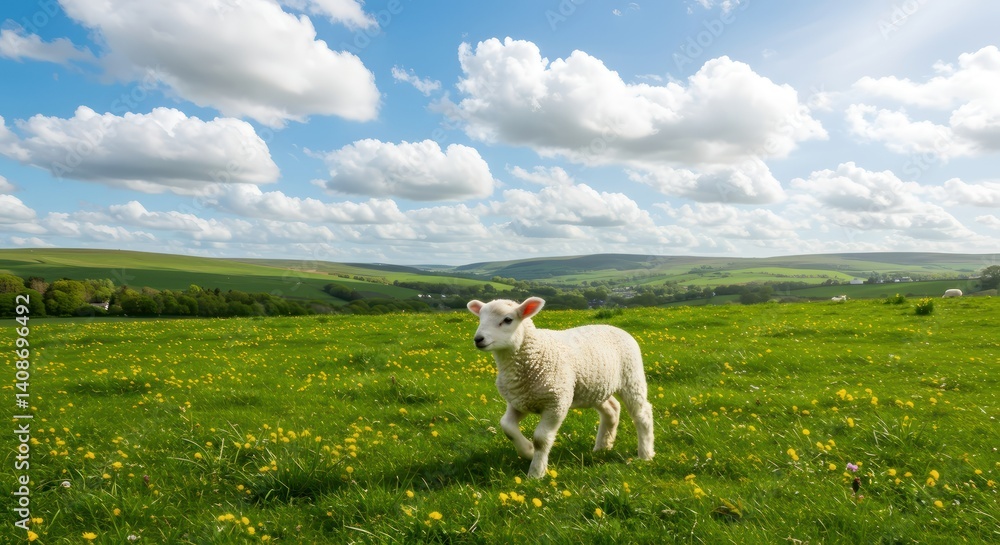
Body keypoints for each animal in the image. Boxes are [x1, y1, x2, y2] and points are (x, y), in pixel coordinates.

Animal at [466, 296, 654, 478]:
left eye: (507, 320)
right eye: (480, 318)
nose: (478, 339)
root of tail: (616, 328)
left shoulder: (556, 403)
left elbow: (541, 439)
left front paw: (536, 472)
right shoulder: (519, 401)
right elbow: (507, 427)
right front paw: (528, 451)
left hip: (631, 378)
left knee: (642, 413)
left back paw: (645, 454)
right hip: (596, 387)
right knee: (612, 409)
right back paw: (602, 447)